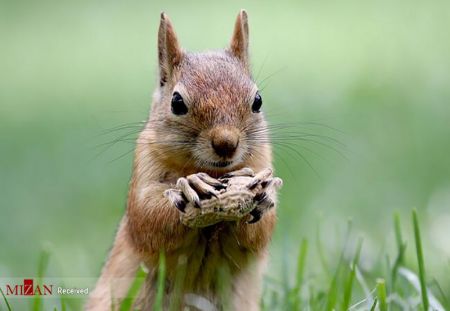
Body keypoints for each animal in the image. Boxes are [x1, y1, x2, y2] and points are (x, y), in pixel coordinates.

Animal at [86, 9, 282, 311]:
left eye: (258, 100)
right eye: (177, 102)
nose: (226, 143)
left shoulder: (262, 160)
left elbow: (257, 235)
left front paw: (264, 196)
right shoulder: (144, 166)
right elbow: (146, 217)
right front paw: (189, 186)